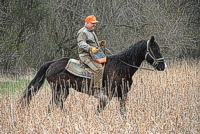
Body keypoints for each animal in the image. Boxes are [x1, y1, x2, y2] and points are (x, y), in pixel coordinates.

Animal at [19, 36, 165, 116]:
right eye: (155, 49)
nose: (163, 66)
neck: (121, 66)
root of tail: (51, 63)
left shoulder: (122, 95)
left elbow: (123, 112)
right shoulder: (107, 96)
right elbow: (99, 111)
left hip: (62, 91)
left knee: (54, 105)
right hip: (59, 89)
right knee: (55, 105)